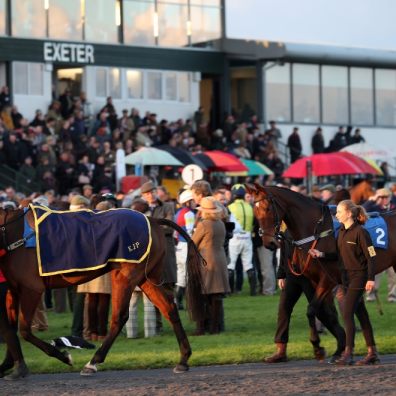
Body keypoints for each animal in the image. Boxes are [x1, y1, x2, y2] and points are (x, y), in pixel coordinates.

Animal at [0, 206, 204, 378]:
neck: (12, 235)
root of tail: (151, 219)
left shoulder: (32, 288)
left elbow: (24, 330)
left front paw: (62, 357)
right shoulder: (13, 290)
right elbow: (9, 329)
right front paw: (9, 365)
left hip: (126, 275)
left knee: (119, 316)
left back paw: (93, 362)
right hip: (147, 277)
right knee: (168, 307)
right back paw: (184, 359)